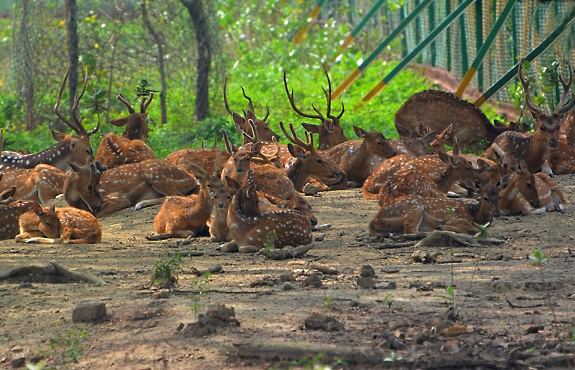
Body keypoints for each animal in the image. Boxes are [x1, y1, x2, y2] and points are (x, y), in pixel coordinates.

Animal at [368, 182, 500, 237]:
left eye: (499, 196)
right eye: (485, 198)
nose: (497, 212)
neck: (474, 215)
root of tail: (375, 219)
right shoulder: (456, 218)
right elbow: (479, 230)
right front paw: (442, 227)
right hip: (416, 207)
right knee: (410, 229)